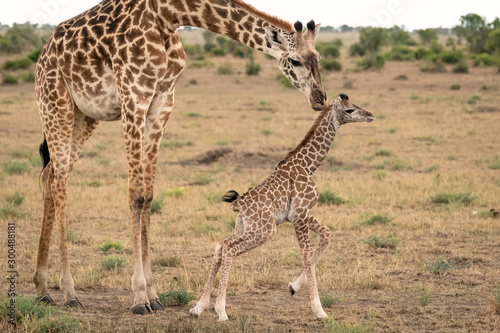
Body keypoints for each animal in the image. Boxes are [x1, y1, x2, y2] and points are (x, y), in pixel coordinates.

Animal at [33, 0, 326, 312]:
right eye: (295, 61)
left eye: (318, 57)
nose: (320, 98)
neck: (168, 14)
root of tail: (42, 56)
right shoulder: (133, 97)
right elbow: (135, 195)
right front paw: (139, 297)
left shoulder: (163, 101)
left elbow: (148, 195)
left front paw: (153, 294)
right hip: (56, 104)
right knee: (60, 182)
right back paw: (69, 292)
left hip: (85, 116)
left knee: (50, 175)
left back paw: (42, 288)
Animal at [189, 92, 374, 320]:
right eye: (350, 110)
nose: (370, 114)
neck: (307, 166)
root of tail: (239, 203)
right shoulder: (300, 213)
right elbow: (306, 255)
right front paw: (319, 309)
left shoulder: (299, 214)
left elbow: (327, 234)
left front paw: (294, 286)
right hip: (265, 230)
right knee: (230, 250)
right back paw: (221, 311)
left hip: (245, 227)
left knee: (220, 246)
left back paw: (199, 307)